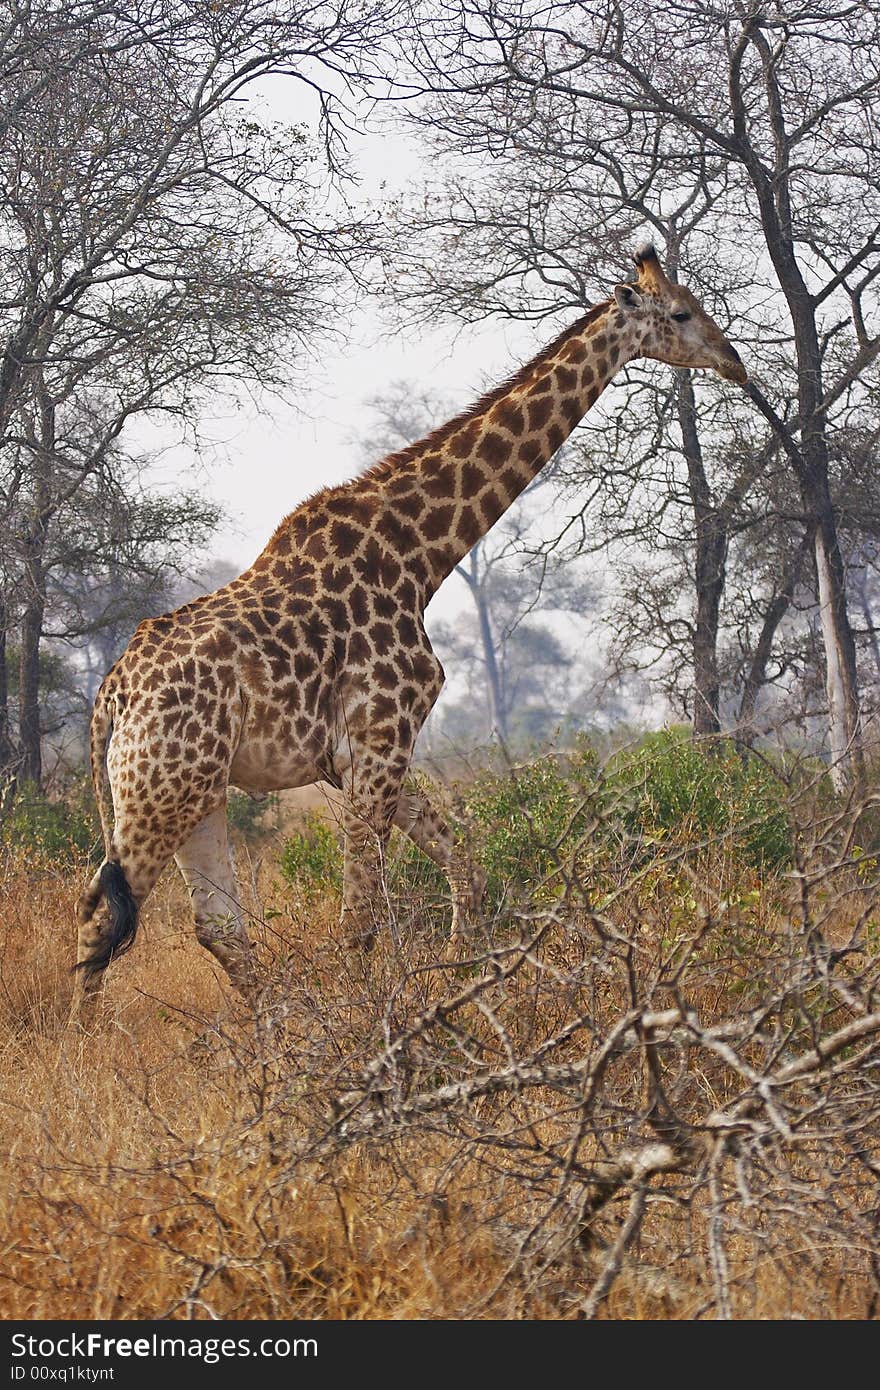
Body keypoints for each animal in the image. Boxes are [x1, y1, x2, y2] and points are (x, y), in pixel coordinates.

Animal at [75, 250, 745, 1006]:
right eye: (682, 312)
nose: (735, 362)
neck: (420, 556)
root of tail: (110, 698)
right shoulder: (380, 738)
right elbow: (362, 916)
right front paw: (378, 1019)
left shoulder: (356, 758)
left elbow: (465, 865)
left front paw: (459, 979)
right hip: (160, 790)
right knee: (103, 916)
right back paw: (92, 1037)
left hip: (196, 792)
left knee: (215, 927)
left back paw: (273, 1031)